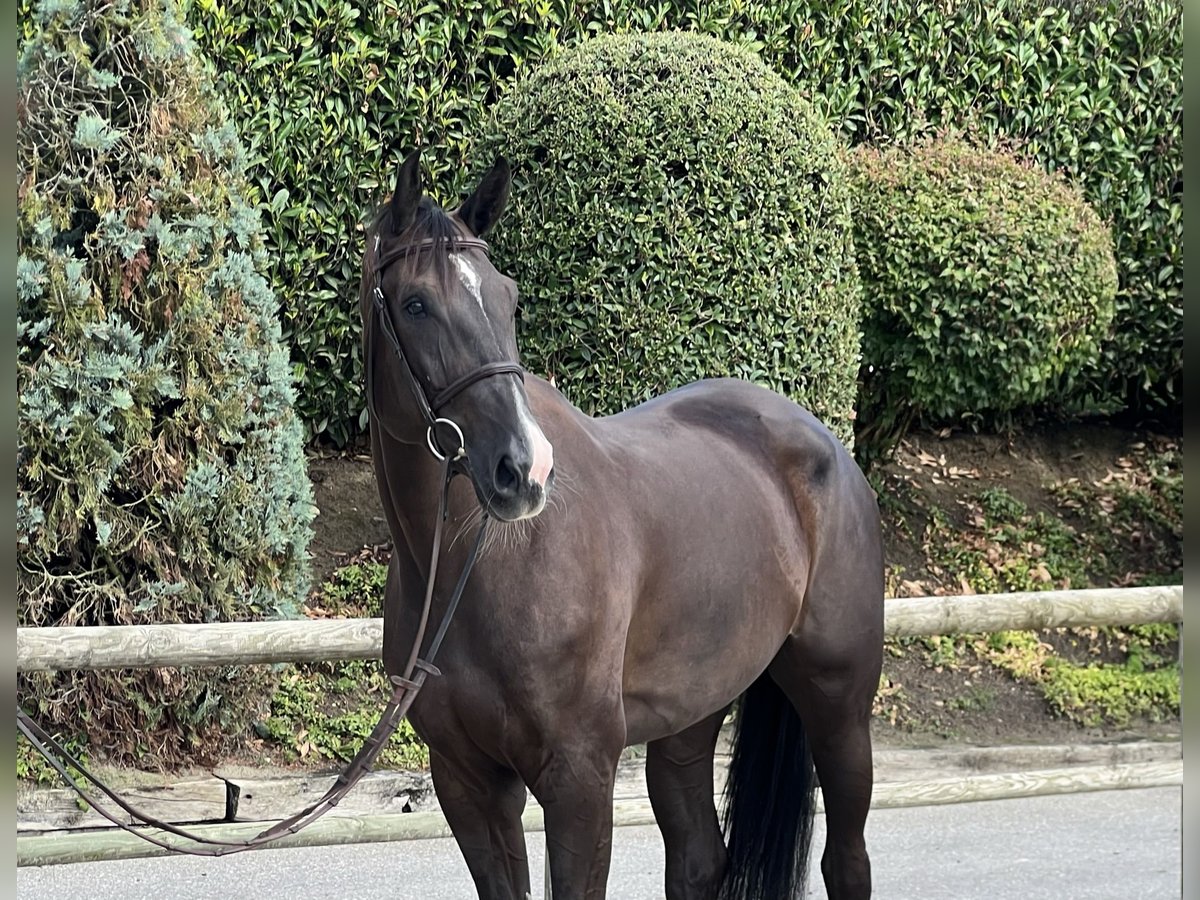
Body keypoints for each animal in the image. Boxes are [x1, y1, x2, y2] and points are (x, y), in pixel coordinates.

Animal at [355, 150, 883, 900]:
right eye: (415, 304)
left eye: (508, 299)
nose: (525, 468)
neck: (478, 570)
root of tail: (826, 444)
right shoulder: (466, 782)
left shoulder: (579, 777)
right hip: (691, 717)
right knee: (699, 859)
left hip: (840, 709)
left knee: (845, 861)